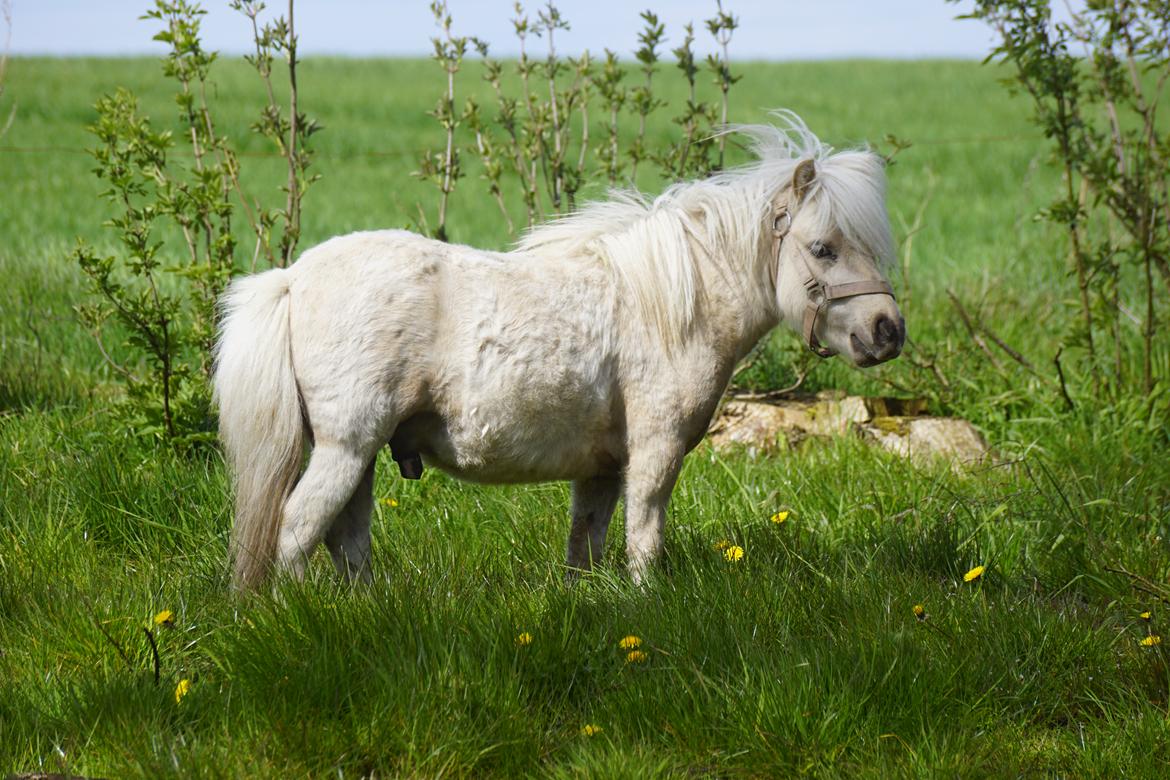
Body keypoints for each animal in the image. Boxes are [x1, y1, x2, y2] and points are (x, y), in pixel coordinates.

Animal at [212, 112, 903, 591]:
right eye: (823, 249)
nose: (887, 330)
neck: (671, 304)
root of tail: (293, 279)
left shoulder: (601, 468)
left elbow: (587, 547)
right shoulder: (655, 452)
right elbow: (643, 539)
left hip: (357, 458)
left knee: (346, 542)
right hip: (346, 448)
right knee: (297, 533)